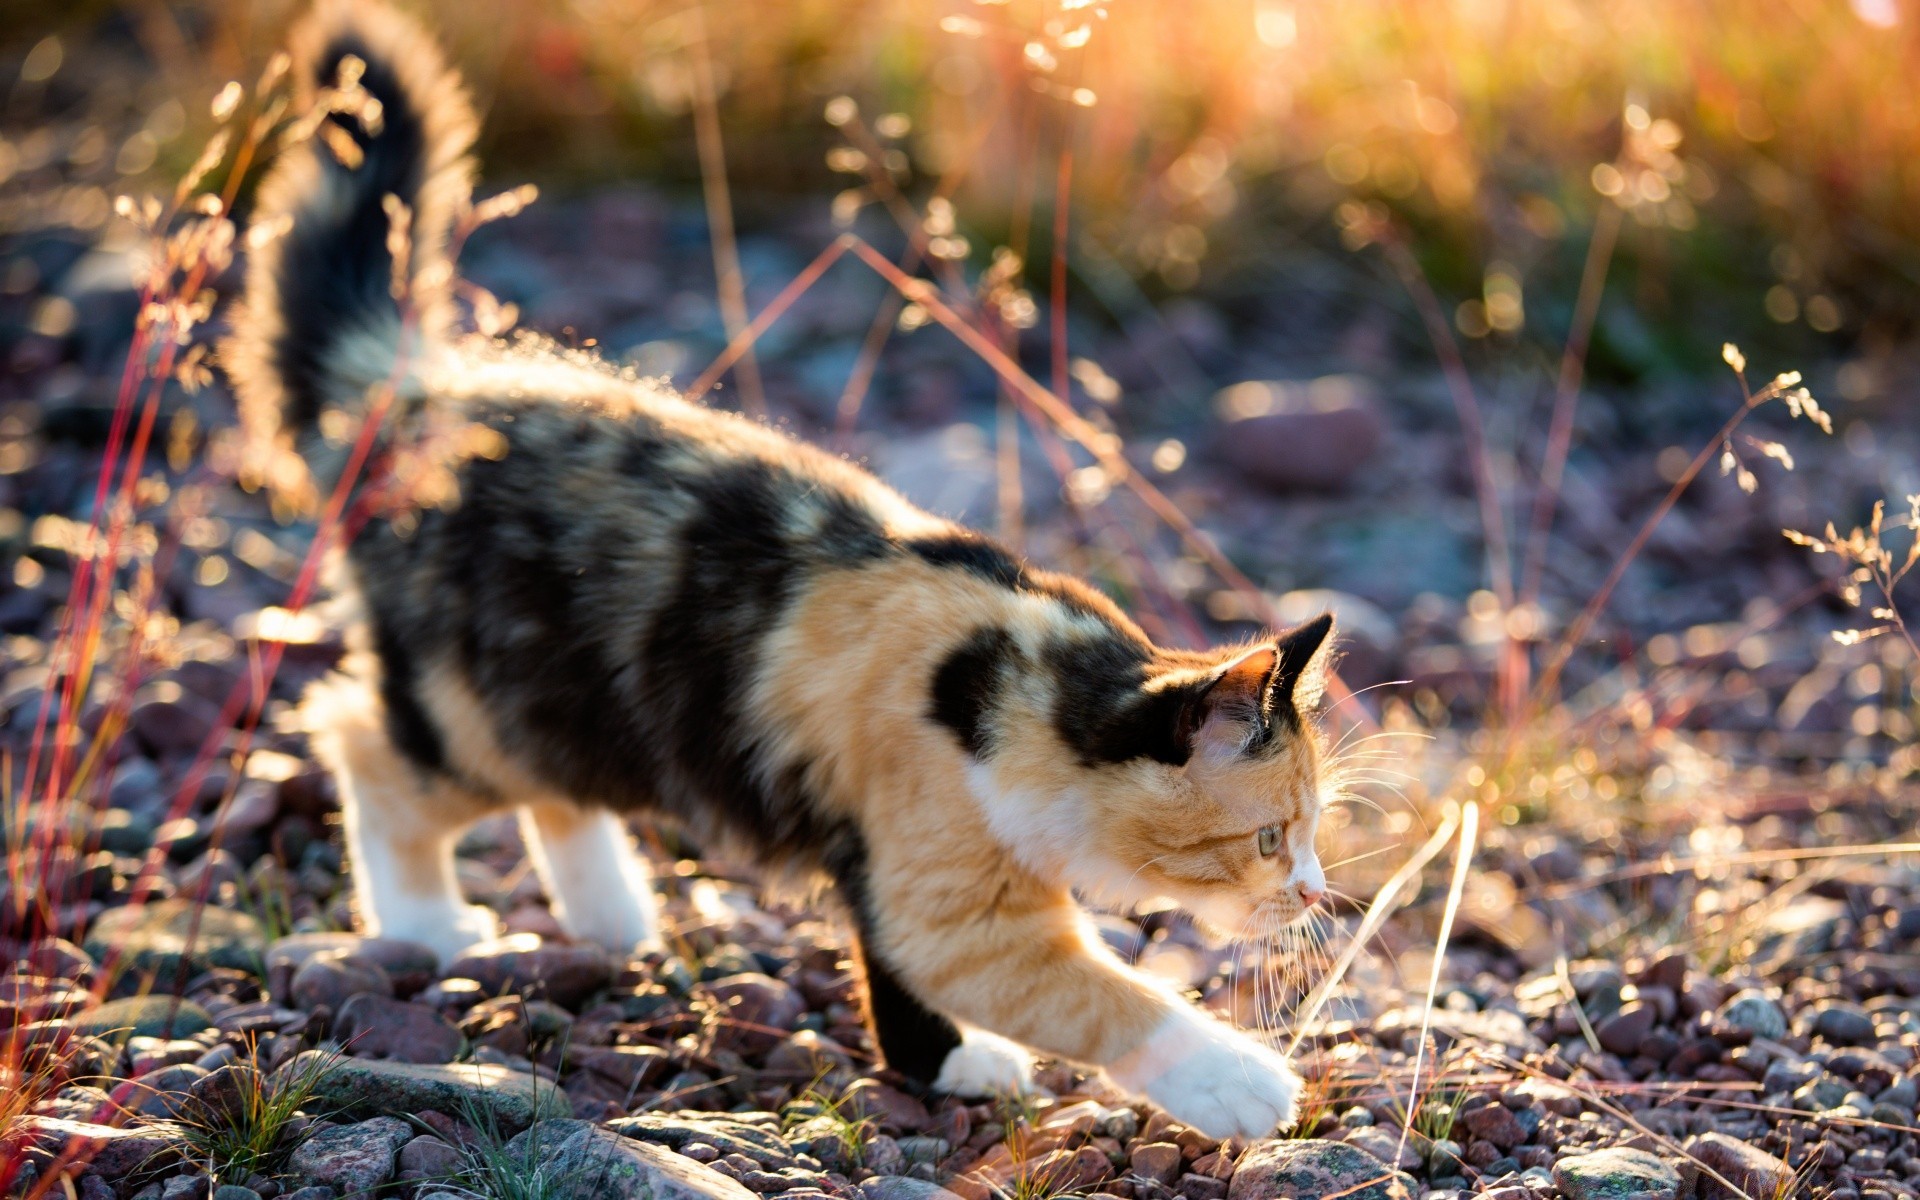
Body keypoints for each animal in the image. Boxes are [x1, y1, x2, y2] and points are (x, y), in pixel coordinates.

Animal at [224, 0, 1336, 1136]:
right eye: (1269, 837)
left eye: (1306, 836)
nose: (1314, 894)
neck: (1024, 688)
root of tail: (412, 395)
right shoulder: (947, 896)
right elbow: (1098, 996)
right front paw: (1235, 1079)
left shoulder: (891, 866)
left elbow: (894, 974)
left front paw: (943, 1064)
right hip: (473, 712)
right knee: (361, 742)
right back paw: (431, 923)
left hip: (563, 705)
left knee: (556, 794)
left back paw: (613, 916)